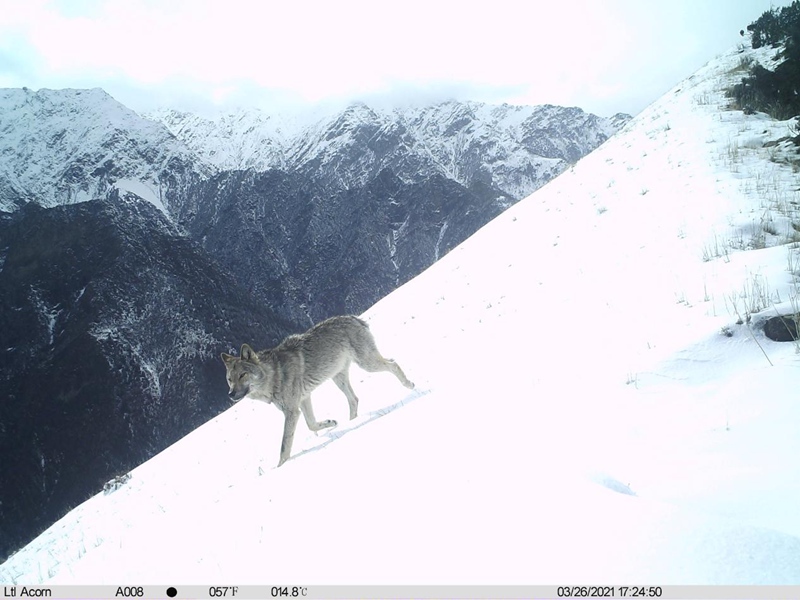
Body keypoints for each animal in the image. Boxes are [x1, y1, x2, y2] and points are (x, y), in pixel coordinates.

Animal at [222, 316, 416, 466]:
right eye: (230, 379)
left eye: (243, 375)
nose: (230, 394)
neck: (274, 375)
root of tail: (354, 318)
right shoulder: (304, 400)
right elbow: (311, 425)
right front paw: (331, 423)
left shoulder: (292, 411)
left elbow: (285, 445)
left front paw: (279, 468)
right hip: (339, 378)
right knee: (354, 399)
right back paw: (352, 422)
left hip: (367, 364)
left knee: (393, 364)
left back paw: (410, 386)